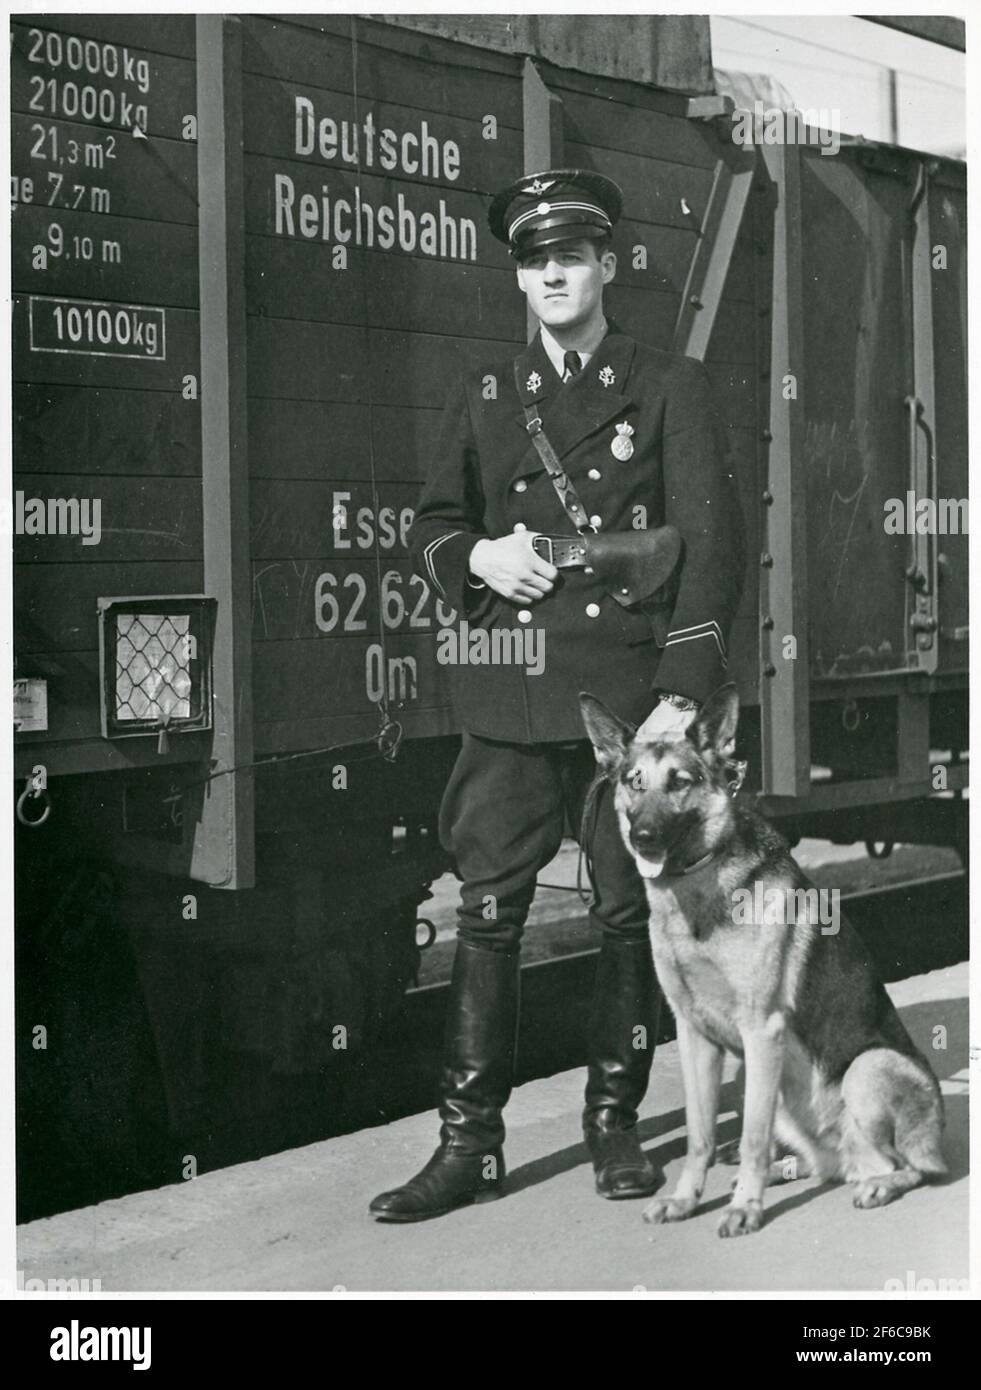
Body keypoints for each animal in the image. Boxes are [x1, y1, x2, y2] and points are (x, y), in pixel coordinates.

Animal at [578, 683, 944, 1239]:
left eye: (680, 782)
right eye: (634, 783)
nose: (642, 838)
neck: (697, 891)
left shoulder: (760, 1031)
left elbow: (751, 1136)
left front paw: (746, 1208)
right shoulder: (696, 1036)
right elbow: (700, 1135)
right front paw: (686, 1199)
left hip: (866, 1068)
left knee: (904, 1167)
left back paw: (873, 1185)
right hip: (775, 1091)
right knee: (818, 1160)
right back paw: (785, 1170)